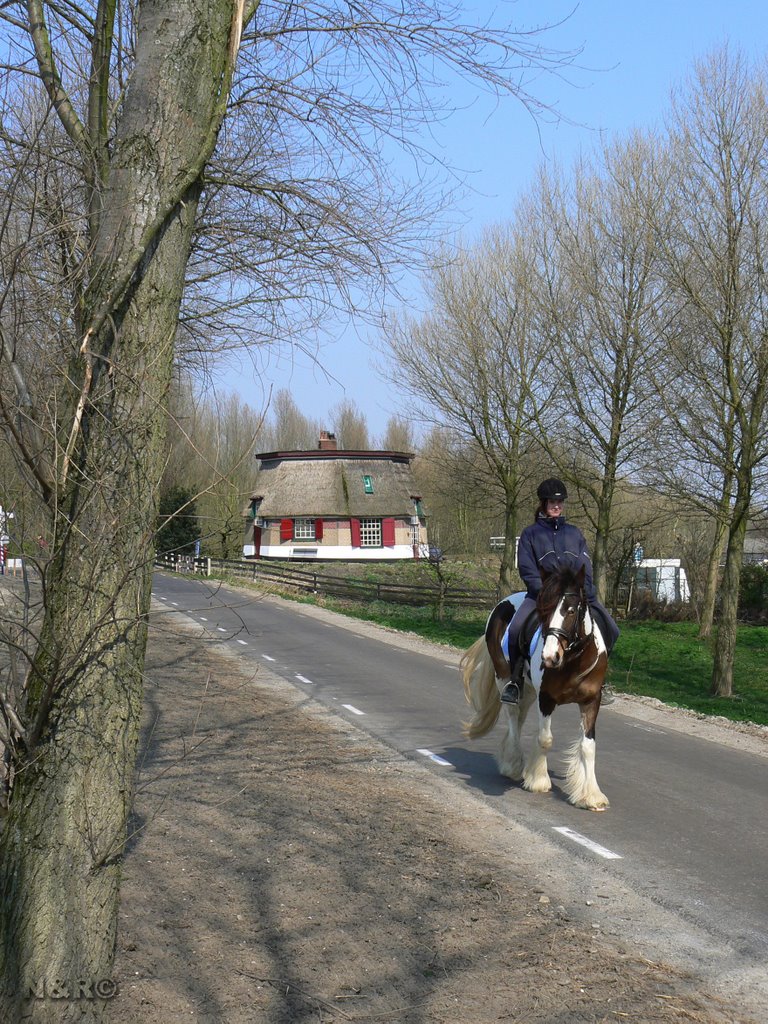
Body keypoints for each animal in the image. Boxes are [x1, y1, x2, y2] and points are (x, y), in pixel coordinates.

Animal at [462, 565, 614, 811]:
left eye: (571, 611)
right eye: (544, 611)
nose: (550, 657)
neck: (573, 662)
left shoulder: (591, 701)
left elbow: (588, 746)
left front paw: (591, 796)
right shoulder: (546, 698)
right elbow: (545, 739)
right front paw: (539, 780)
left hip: (528, 690)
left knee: (520, 718)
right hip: (505, 679)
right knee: (513, 716)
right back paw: (513, 765)